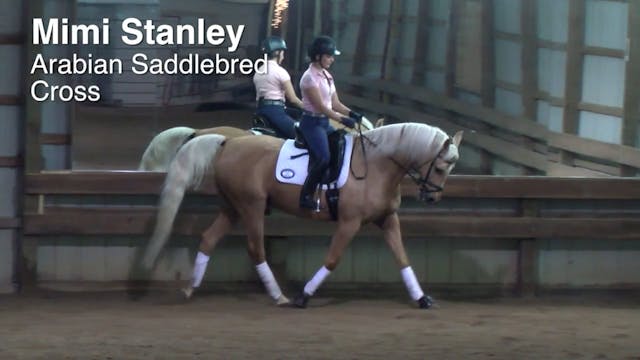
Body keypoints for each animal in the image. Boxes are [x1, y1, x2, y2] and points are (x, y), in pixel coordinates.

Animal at [141, 122, 460, 308]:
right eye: (440, 167)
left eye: (451, 168)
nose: (432, 197)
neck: (376, 165)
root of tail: (227, 142)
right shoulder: (350, 222)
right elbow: (332, 259)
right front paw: (304, 295)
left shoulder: (387, 219)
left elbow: (403, 258)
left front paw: (421, 298)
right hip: (251, 206)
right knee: (255, 248)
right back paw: (278, 296)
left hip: (233, 207)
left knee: (208, 239)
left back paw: (190, 289)